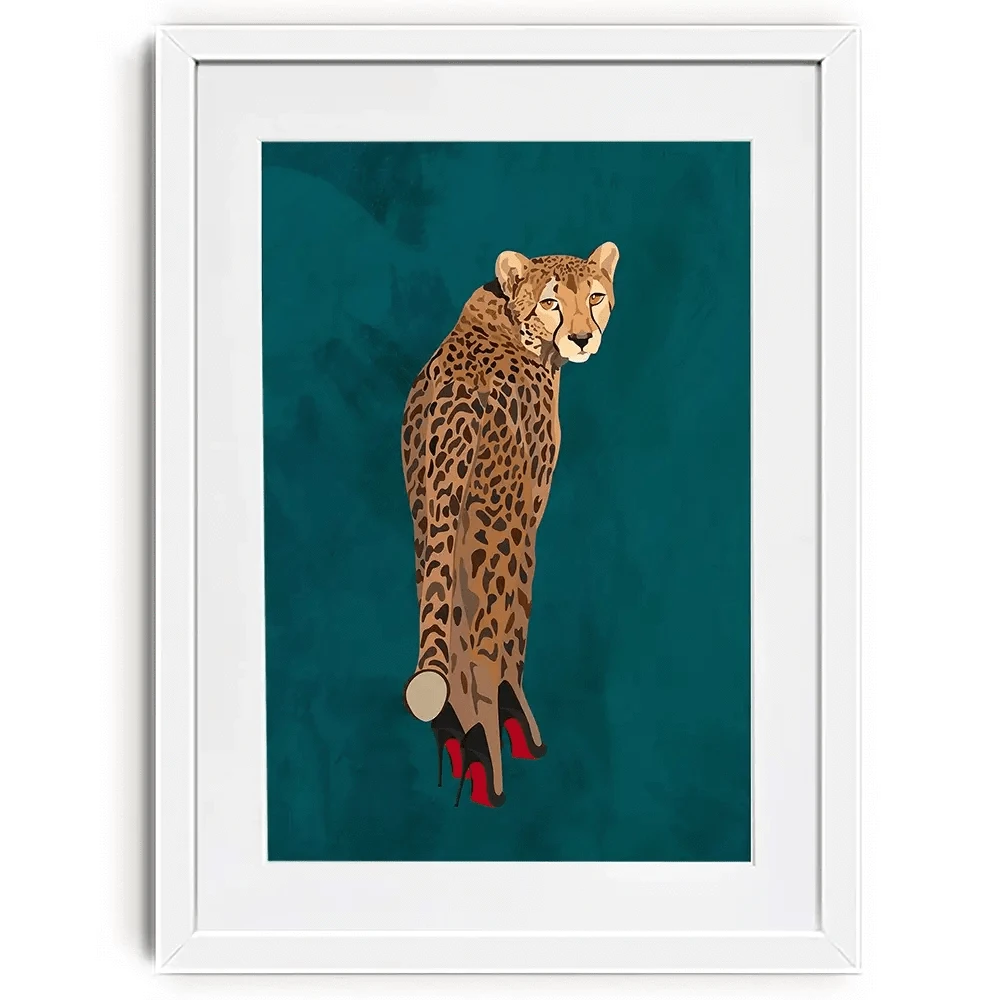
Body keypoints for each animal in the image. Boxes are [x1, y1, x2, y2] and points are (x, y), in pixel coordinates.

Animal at [400, 242, 619, 807]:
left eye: (594, 296)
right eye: (551, 303)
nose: (582, 338)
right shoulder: (527, 508)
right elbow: (515, 618)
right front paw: (511, 715)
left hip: (430, 518)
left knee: (449, 620)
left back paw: (459, 734)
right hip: (495, 525)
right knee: (484, 637)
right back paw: (492, 749)